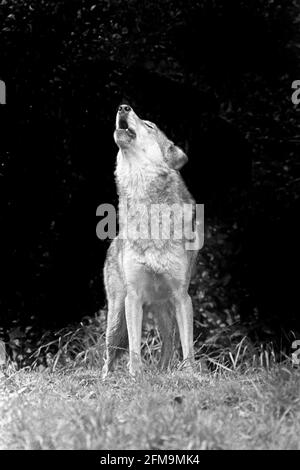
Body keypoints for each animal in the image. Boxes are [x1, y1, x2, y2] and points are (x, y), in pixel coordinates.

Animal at [102, 104, 200, 376]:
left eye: (149, 126)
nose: (123, 106)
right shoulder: (133, 297)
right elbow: (135, 348)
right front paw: (136, 376)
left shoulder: (182, 296)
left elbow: (188, 347)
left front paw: (191, 376)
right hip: (117, 315)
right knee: (108, 356)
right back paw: (106, 380)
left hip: (163, 309)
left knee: (169, 342)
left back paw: (164, 372)